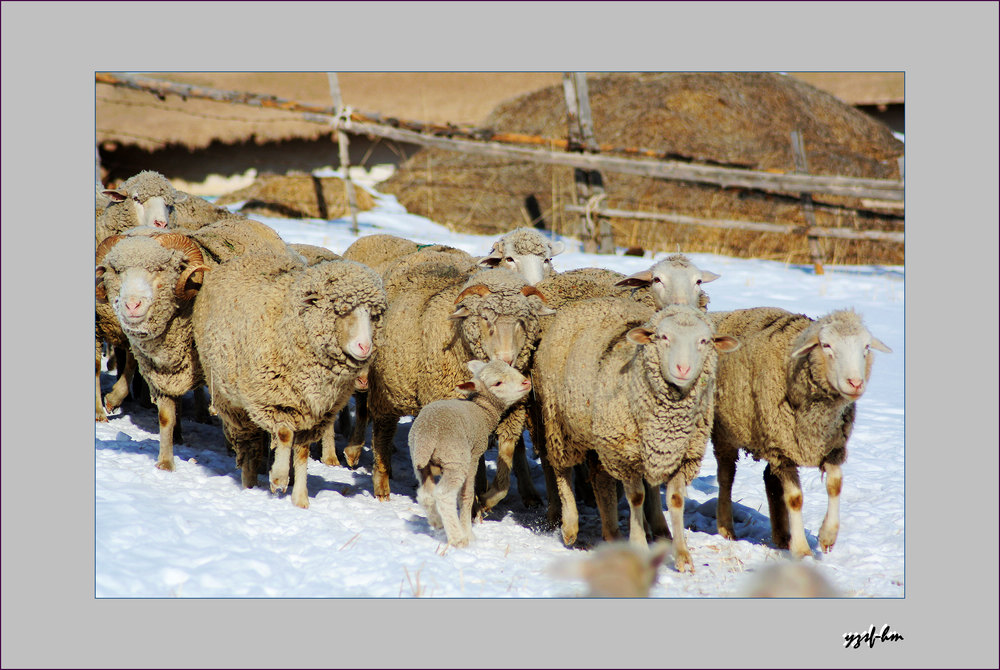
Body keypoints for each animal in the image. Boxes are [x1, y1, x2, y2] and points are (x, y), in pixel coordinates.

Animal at [191, 255, 386, 506]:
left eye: (374, 315)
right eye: (340, 310)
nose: (365, 347)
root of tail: (240, 259)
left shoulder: (313, 414)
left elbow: (301, 452)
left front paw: (300, 498)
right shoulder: (274, 400)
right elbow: (284, 435)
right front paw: (279, 478)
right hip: (230, 400)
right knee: (248, 442)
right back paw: (249, 481)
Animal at [368, 258, 556, 504]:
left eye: (521, 321)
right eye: (485, 318)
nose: (506, 359)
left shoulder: (512, 414)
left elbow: (504, 468)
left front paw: (486, 500)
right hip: (387, 390)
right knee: (382, 433)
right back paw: (382, 485)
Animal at [408, 362, 536, 544]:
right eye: (498, 383)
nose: (526, 382)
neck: (482, 411)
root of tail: (427, 435)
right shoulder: (473, 457)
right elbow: (466, 496)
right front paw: (468, 533)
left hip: (420, 462)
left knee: (425, 495)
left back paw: (437, 523)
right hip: (455, 460)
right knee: (444, 495)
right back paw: (458, 538)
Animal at [536, 300, 740, 572]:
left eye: (704, 340)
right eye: (663, 337)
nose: (683, 368)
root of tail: (585, 302)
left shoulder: (681, 455)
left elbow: (675, 500)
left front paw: (682, 555)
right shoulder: (624, 454)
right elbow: (636, 497)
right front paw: (639, 545)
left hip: (604, 436)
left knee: (601, 480)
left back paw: (615, 531)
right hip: (558, 421)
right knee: (561, 469)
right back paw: (570, 526)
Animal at [708, 308, 896, 560]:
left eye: (866, 347)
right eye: (826, 345)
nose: (855, 383)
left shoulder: (831, 448)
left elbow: (835, 485)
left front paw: (827, 537)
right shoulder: (782, 448)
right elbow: (795, 499)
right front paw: (802, 550)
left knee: (769, 479)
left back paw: (781, 536)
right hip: (727, 434)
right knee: (726, 478)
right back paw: (726, 527)